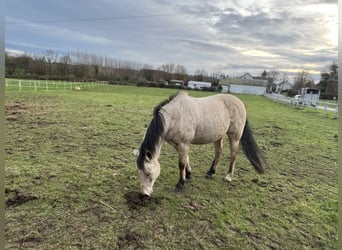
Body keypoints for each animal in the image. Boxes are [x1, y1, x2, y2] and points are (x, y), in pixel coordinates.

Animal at [132, 91, 266, 195]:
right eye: (139, 172)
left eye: (148, 173)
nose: (145, 193)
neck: (173, 117)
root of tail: (240, 103)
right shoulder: (179, 145)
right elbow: (186, 159)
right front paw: (188, 175)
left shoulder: (183, 144)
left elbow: (181, 163)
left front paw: (180, 184)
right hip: (218, 136)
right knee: (218, 152)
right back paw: (210, 172)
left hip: (235, 136)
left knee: (233, 155)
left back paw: (228, 176)